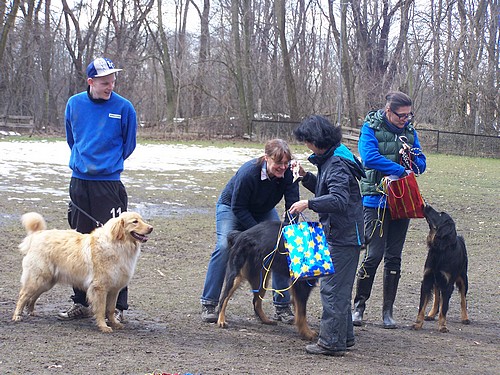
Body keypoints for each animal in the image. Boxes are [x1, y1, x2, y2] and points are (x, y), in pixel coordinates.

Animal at [412, 204, 470, 334]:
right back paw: (431, 314)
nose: (426, 205)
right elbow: (422, 307)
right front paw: (418, 324)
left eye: (439, 214)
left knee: (463, 299)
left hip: (463, 278)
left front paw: (442, 326)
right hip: (437, 281)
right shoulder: (427, 280)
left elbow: (444, 309)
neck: (439, 250)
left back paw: (465, 318)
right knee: (437, 298)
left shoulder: (447, 285)